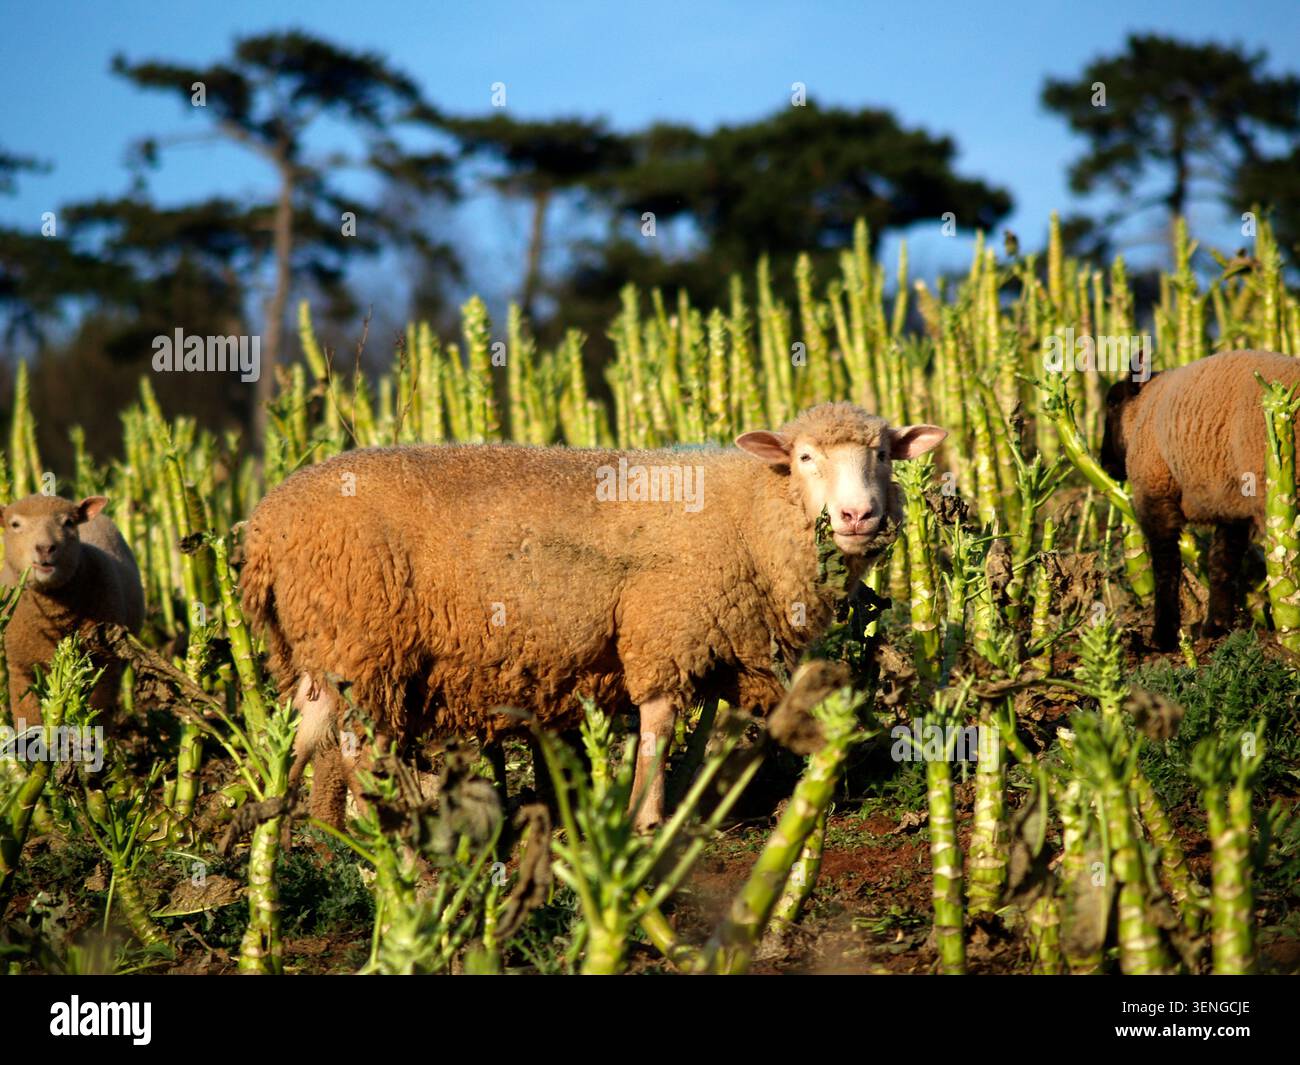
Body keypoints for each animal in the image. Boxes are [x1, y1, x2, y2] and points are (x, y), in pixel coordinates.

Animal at [1, 495, 145, 727]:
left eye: (68, 522)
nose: (45, 547)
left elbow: (96, 715)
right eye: (15, 524)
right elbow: (28, 718)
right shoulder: (20, 668)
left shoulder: (105, 665)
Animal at [239, 402, 947, 830]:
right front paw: (646, 818)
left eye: (884, 455)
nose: (858, 516)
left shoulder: (728, 640)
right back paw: (386, 839)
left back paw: (321, 836)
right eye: (804, 458)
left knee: (309, 741)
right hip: (362, 646)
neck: (752, 510)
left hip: (323, 654)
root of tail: (267, 525)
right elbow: (659, 722)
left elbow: (723, 724)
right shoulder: (667, 625)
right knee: (358, 749)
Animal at [1100, 349, 1300, 650]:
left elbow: (1166, 566)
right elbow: (1221, 563)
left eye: (1112, 403)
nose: (1105, 464)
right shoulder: (1233, 506)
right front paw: (1216, 627)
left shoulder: (1155, 491)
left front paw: (1163, 636)